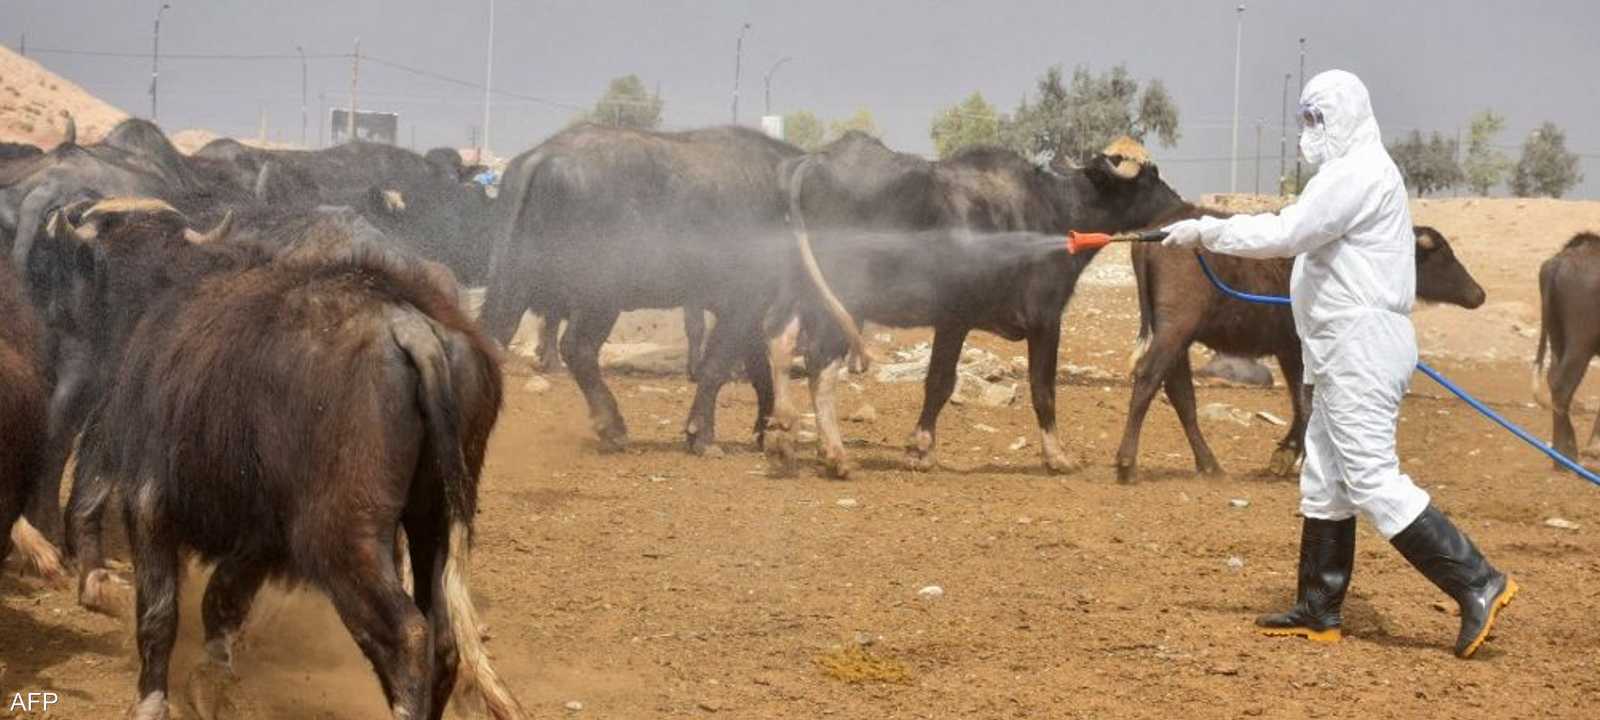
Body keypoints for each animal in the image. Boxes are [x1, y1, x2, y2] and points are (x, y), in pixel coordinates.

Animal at [34, 200, 528, 720]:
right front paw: (211, 682)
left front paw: (153, 699)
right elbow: (222, 601)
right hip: (434, 520)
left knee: (408, 636)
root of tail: (409, 326)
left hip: (343, 538)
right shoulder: (262, 535)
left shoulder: (150, 503)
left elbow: (159, 611)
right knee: (444, 638)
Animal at [476, 123, 796, 451]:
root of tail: (542, 155)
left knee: (494, 336)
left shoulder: (750, 309)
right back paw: (612, 427)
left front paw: (764, 431)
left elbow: (759, 369)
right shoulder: (743, 301)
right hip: (600, 296)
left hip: (513, 280)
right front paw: (702, 436)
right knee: (578, 348)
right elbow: (717, 366)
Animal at [761, 138, 1190, 480]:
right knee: (820, 363)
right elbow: (1027, 388)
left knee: (779, 341)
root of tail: (813, 161)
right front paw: (1056, 456)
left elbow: (940, 383)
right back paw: (834, 455)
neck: (1054, 211)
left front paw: (920, 449)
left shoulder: (955, 322)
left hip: (800, 291)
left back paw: (781, 437)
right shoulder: (1029, 320)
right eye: (1150, 177)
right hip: (843, 301)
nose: (1182, 205)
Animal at [1120, 225, 1491, 483]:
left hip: (1178, 340)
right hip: (1174, 331)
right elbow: (1309, 403)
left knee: (1181, 395)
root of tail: (1153, 239)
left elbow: (1301, 403)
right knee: (1149, 380)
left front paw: (1284, 456)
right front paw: (1295, 459)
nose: (1479, 294)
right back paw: (1126, 464)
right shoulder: (1303, 350)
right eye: (1443, 254)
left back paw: (1210, 466)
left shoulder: (1290, 352)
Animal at [1523, 233, 1600, 464]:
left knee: (1552, 377)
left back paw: (1559, 455)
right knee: (1562, 385)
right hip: (1580, 340)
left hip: (1557, 334)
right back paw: (1568, 455)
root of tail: (1558, 261)